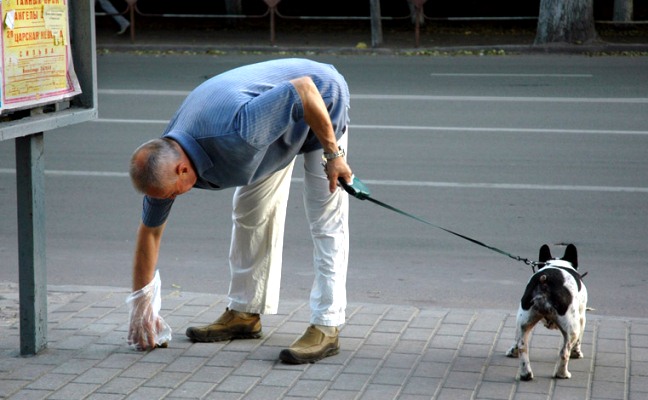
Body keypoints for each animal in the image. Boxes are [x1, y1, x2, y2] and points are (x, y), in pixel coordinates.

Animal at [506, 244, 588, 382]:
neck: (558, 263)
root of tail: (545, 281)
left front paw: (513, 351)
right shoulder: (582, 317)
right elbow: (579, 339)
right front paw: (577, 353)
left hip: (524, 320)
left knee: (522, 346)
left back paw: (525, 374)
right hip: (572, 327)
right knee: (564, 351)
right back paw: (562, 374)